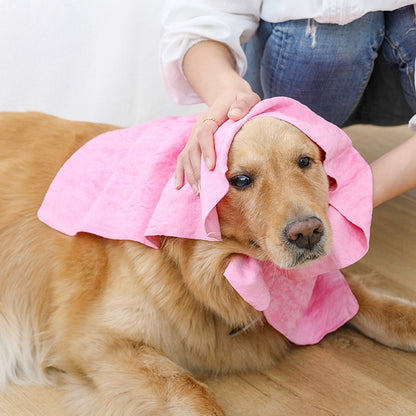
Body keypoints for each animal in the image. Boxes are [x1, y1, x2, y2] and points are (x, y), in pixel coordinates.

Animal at [0, 112, 416, 414]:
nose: (308, 233)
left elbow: (368, 298)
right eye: (242, 180)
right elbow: (192, 391)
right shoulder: (96, 341)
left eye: (304, 162)